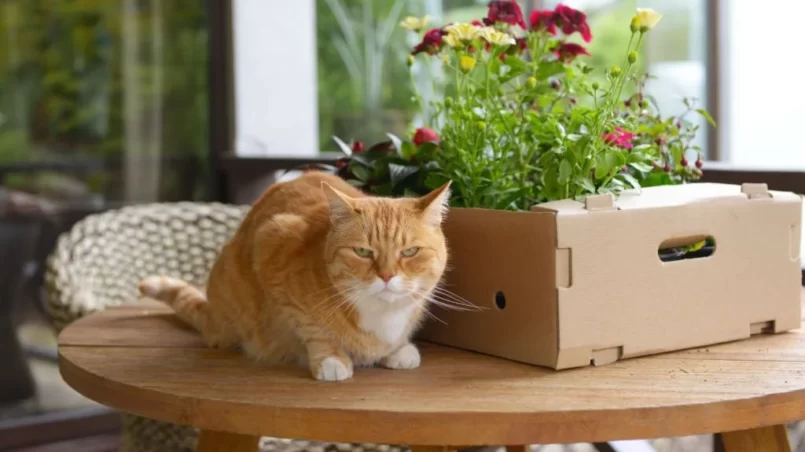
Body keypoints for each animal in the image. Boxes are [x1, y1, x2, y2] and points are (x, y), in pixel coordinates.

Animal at [137, 170, 452, 382]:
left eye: (409, 252)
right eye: (363, 252)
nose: (386, 275)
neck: (381, 314)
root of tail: (215, 313)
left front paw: (398, 349)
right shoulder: (270, 243)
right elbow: (312, 327)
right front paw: (330, 358)